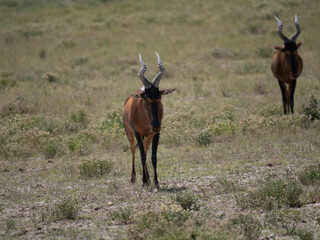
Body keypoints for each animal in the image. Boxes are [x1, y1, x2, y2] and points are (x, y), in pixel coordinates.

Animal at [122, 52, 176, 188]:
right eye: (146, 99)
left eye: (159, 98)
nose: (155, 125)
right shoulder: (137, 133)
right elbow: (141, 156)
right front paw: (144, 182)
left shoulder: (156, 133)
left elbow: (153, 156)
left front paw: (155, 182)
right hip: (130, 133)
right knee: (133, 150)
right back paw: (134, 178)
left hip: (148, 136)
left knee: (146, 151)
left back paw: (147, 178)